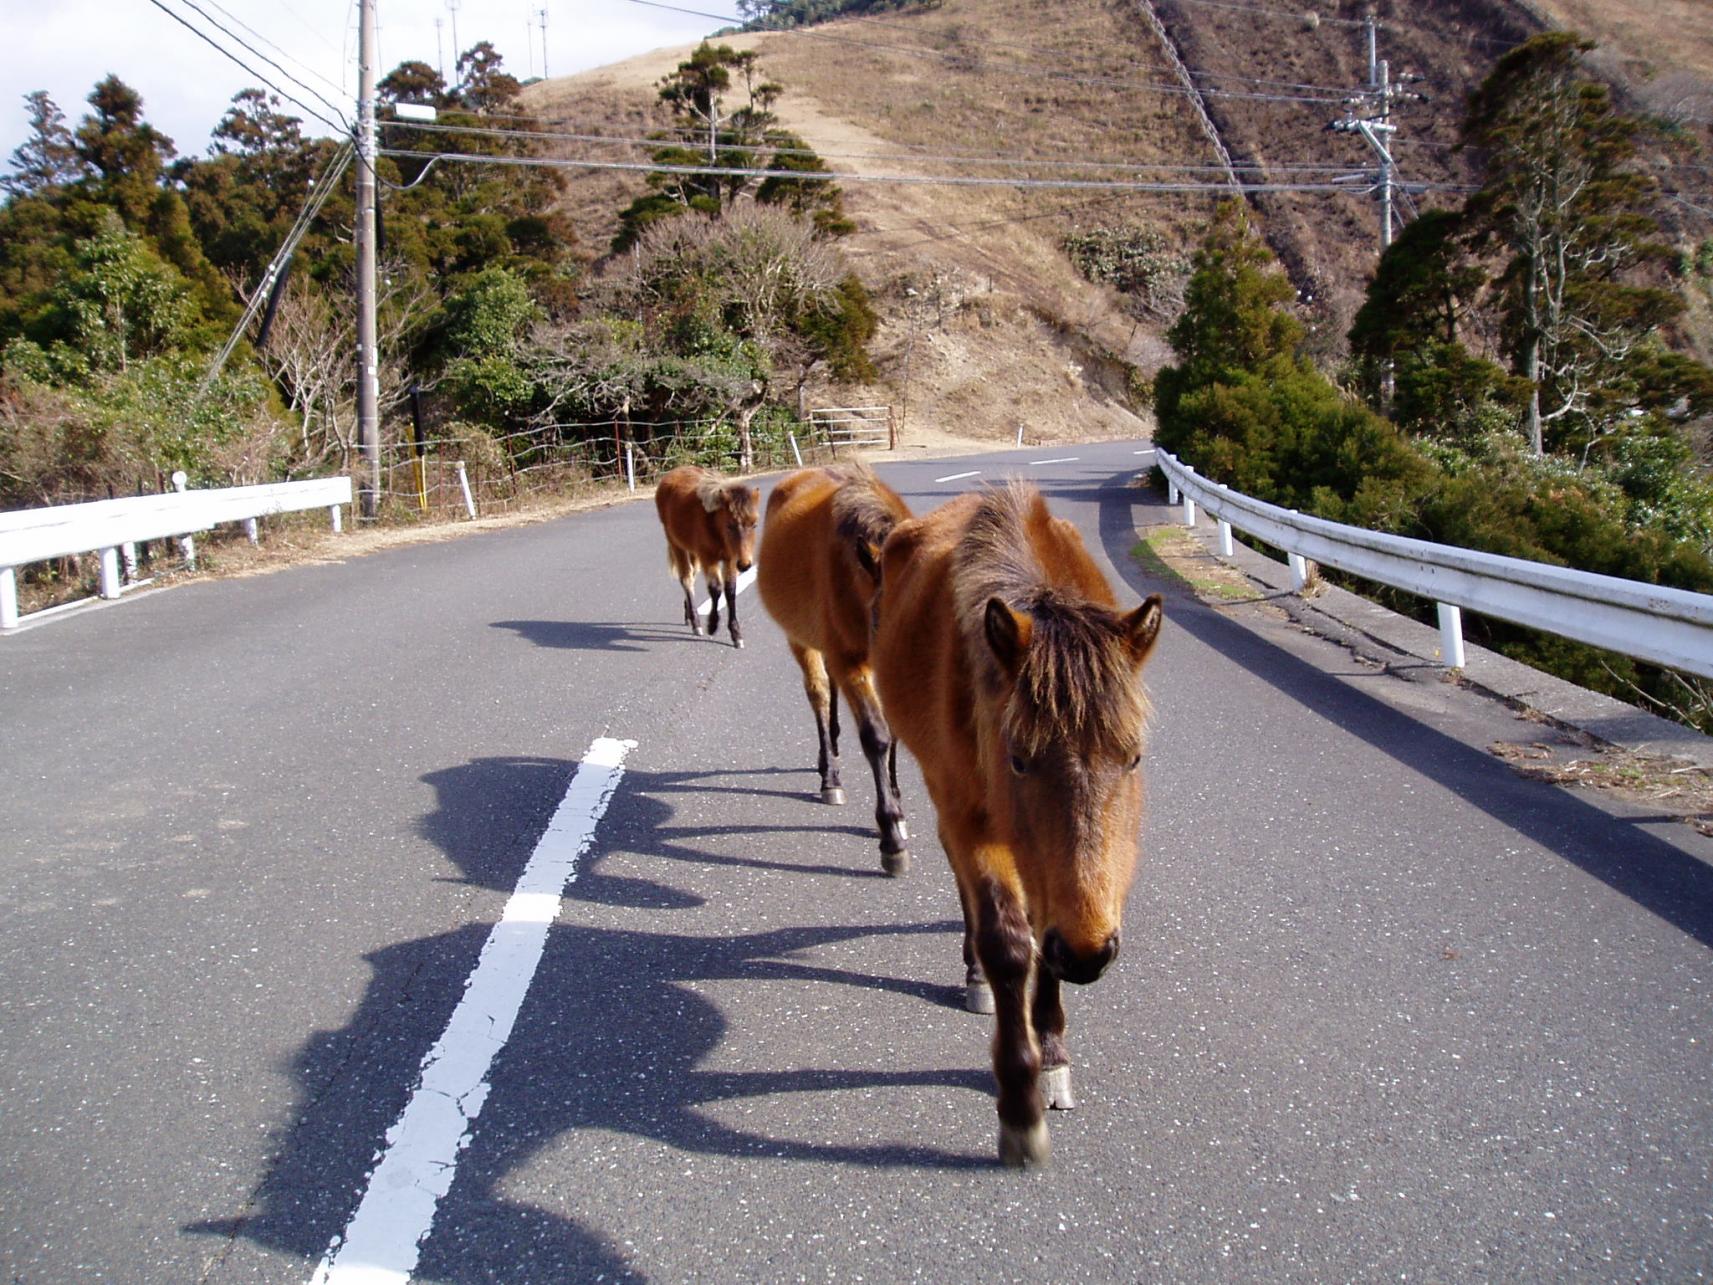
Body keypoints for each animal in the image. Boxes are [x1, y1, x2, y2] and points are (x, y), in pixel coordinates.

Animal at [654, 465, 761, 648]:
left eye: (754, 524)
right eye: (730, 525)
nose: (745, 564)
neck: (714, 527)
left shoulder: (730, 559)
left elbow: (730, 590)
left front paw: (736, 634)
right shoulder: (708, 558)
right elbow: (716, 589)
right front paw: (712, 624)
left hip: (693, 552)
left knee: (691, 576)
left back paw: (689, 615)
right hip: (676, 544)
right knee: (686, 579)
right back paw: (696, 622)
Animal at [757, 464, 913, 875]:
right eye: (882, 621)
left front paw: (898, 803)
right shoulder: (850, 659)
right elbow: (876, 735)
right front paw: (891, 836)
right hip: (800, 639)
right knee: (819, 693)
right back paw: (829, 775)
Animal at [872, 479, 1163, 1168]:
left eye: (1134, 757)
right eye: (1019, 759)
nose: (1089, 952)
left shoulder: (1053, 881)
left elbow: (1042, 940)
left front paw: (1052, 1054)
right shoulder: (974, 818)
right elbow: (1008, 945)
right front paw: (1020, 1104)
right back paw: (975, 973)